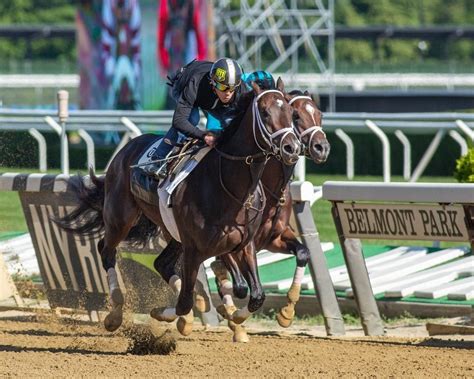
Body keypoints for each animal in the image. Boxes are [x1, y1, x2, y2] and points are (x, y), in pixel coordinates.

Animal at [55, 79, 300, 336]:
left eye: (291, 113)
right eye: (264, 112)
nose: (292, 147)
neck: (229, 186)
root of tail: (126, 149)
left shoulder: (244, 244)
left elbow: (256, 296)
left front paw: (235, 317)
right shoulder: (194, 250)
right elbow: (184, 302)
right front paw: (167, 314)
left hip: (172, 232)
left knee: (160, 263)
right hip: (120, 218)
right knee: (106, 250)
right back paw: (115, 313)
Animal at [211, 90, 330, 342]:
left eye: (319, 113)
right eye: (296, 116)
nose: (321, 147)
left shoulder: (274, 238)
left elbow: (303, 253)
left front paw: (286, 312)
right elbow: (238, 285)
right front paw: (231, 314)